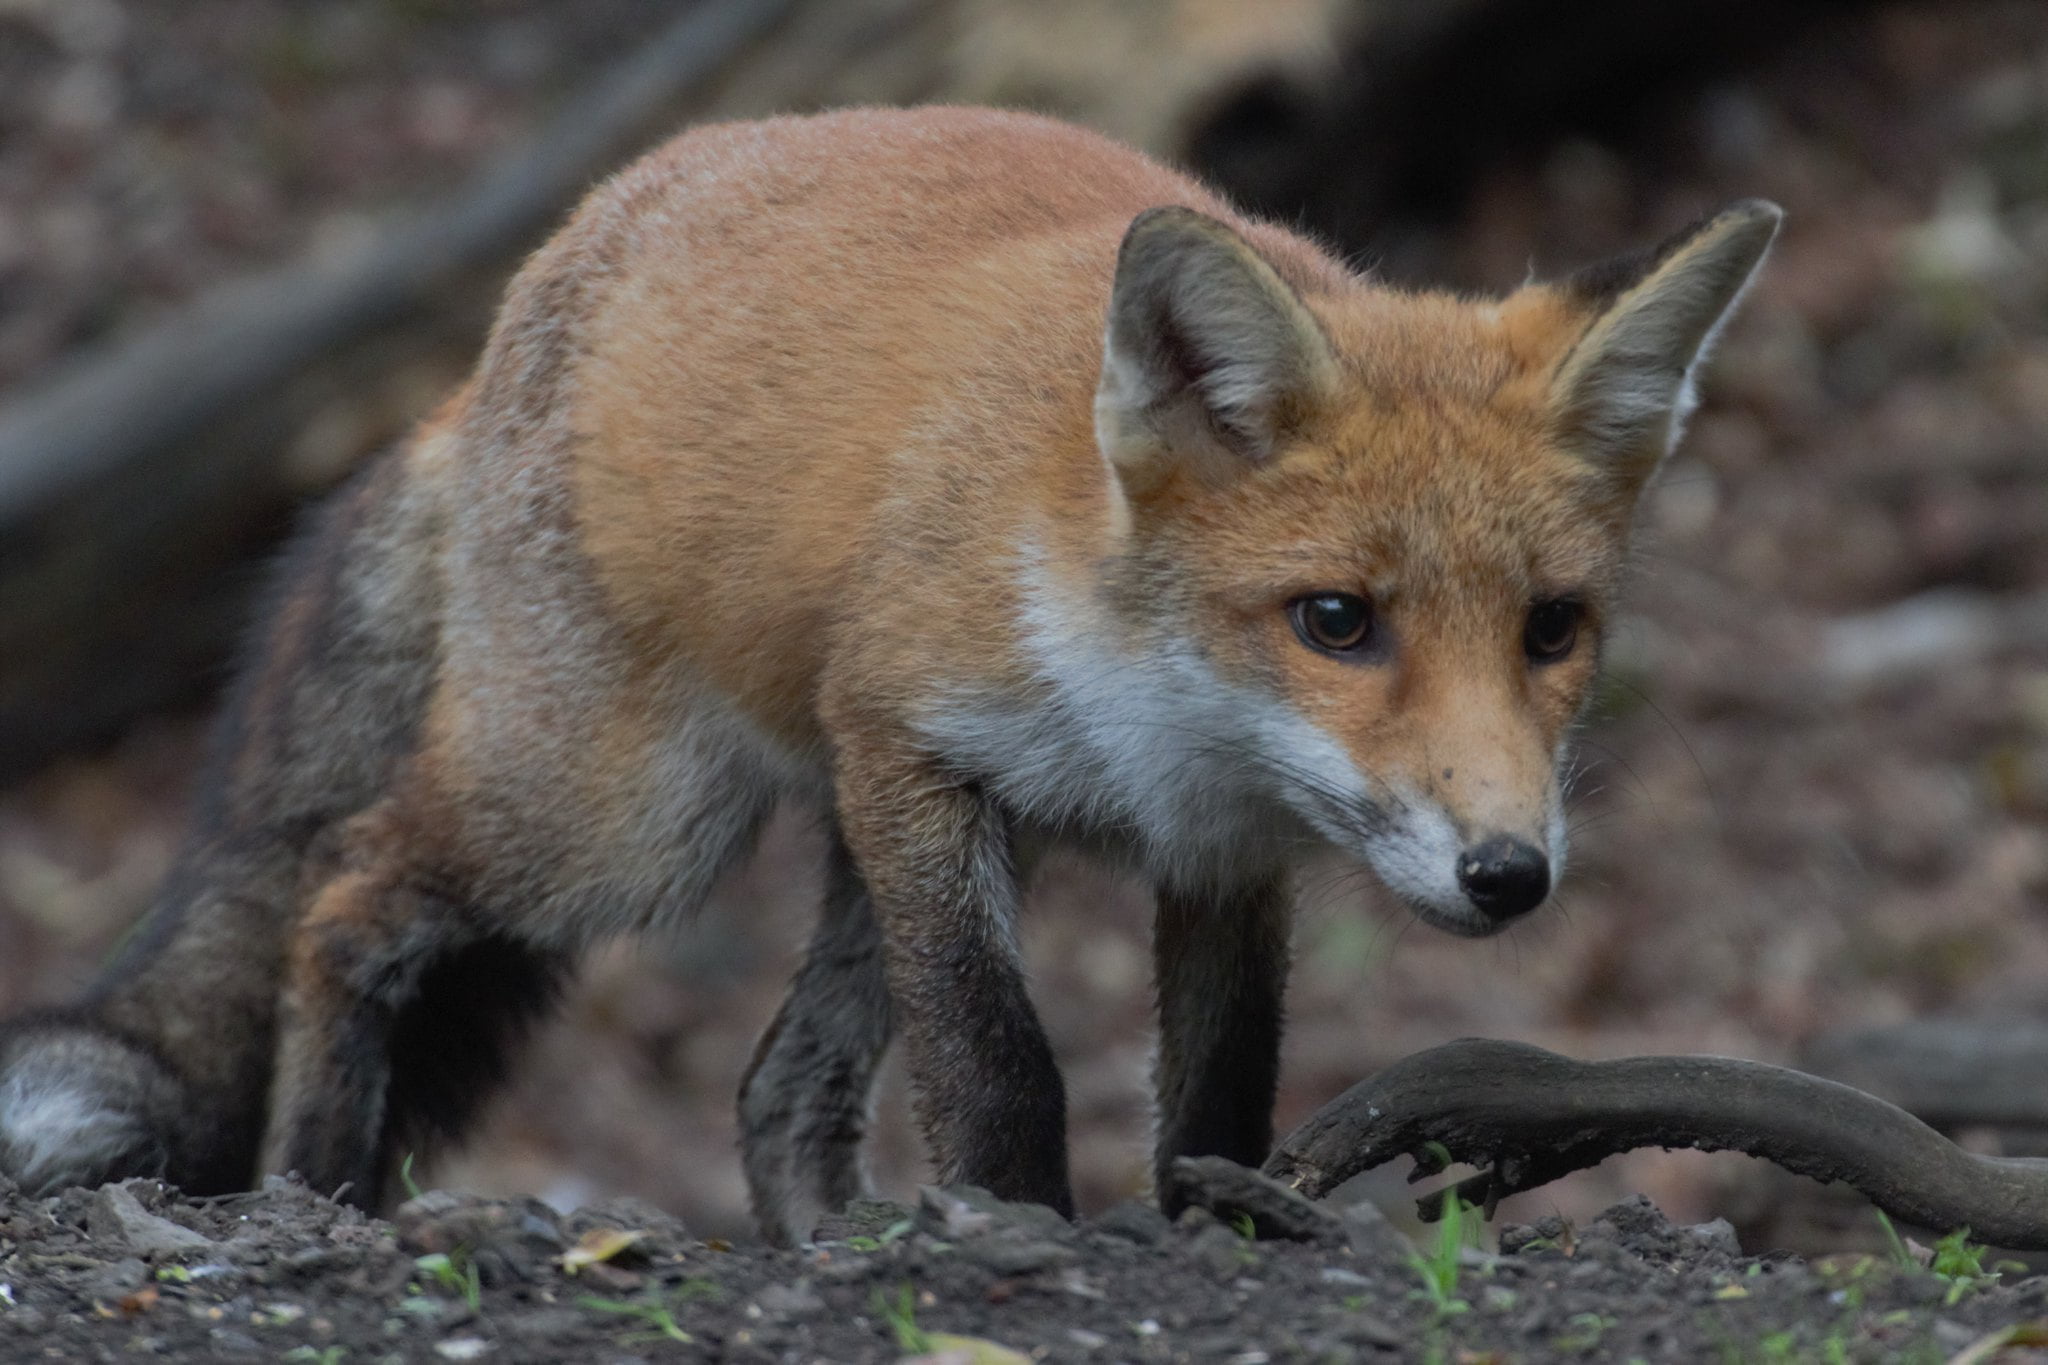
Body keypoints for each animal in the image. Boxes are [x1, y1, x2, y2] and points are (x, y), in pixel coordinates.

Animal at [0, 106, 1777, 1245]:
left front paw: (1215, 1233)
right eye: (1338, 620)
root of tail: (497, 336)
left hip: (823, 839)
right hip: (624, 829)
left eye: (1552, 628)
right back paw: (313, 1184)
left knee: (772, 1090)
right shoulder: (921, 752)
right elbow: (998, 1064)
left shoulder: (1223, 856)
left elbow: (1218, 1095)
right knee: (343, 899)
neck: (1154, 726)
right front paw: (1023, 1232)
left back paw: (823, 1246)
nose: (1508, 875)